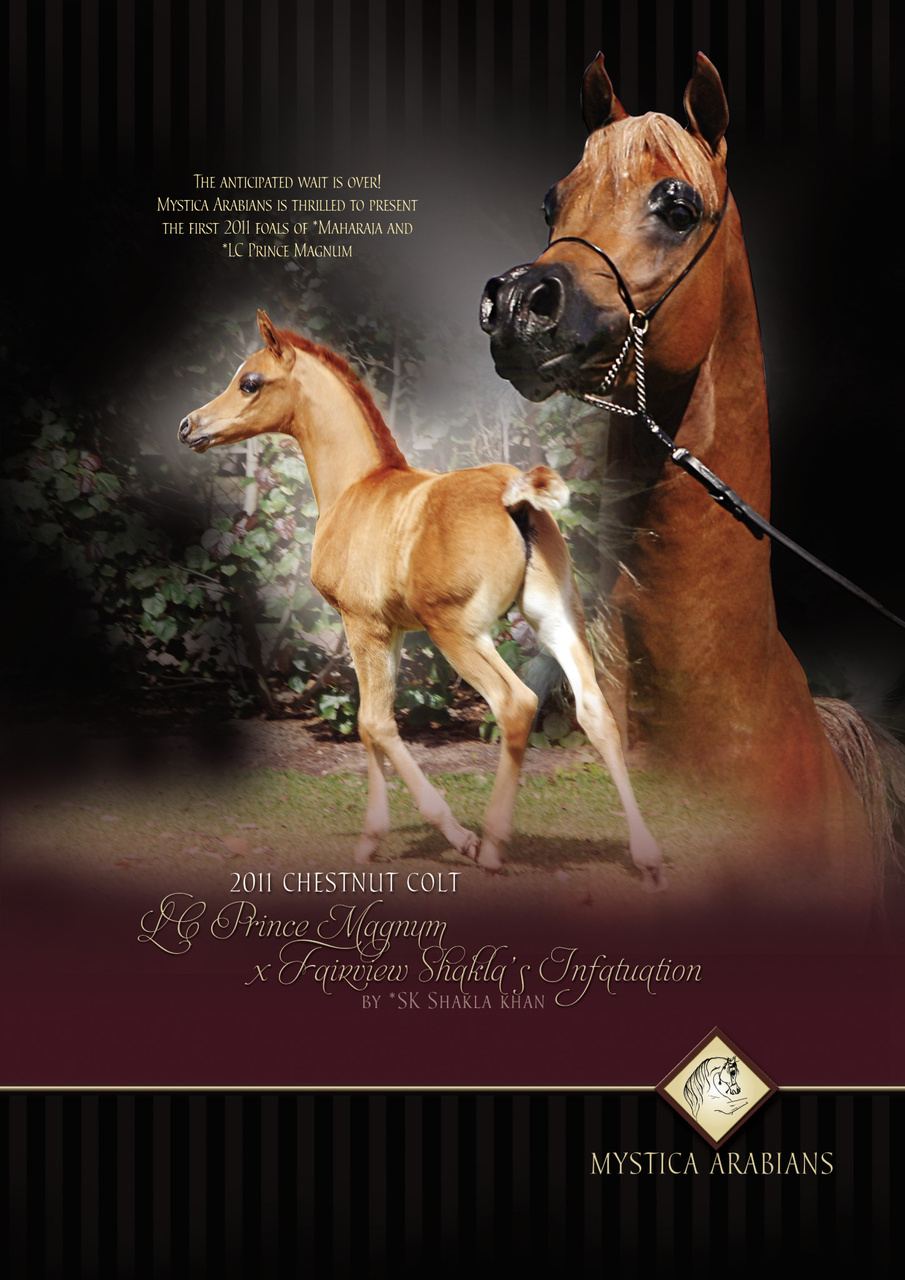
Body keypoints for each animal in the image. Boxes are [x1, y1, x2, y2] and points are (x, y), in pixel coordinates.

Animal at [178, 311, 664, 885]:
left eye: (250, 382)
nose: (189, 426)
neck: (355, 487)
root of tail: (517, 497)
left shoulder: (363, 625)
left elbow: (373, 723)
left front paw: (404, 837)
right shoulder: (393, 631)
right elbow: (375, 724)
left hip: (457, 631)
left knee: (515, 703)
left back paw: (493, 845)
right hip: (557, 617)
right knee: (596, 712)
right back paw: (645, 853)